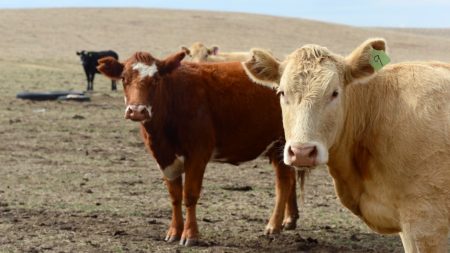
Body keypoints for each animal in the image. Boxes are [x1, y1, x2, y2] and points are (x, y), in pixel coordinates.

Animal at [96, 50, 304, 246]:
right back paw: (289, 219)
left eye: (155, 79)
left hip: (281, 144)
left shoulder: (197, 154)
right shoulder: (164, 158)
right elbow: (175, 196)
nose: (137, 111)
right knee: (290, 179)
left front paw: (190, 235)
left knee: (283, 183)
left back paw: (273, 225)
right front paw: (174, 231)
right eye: (124, 78)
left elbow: (189, 195)